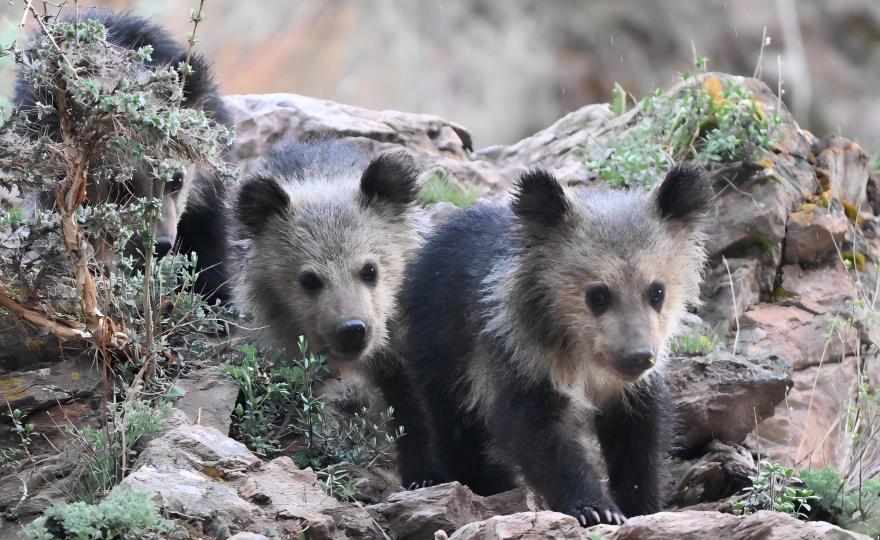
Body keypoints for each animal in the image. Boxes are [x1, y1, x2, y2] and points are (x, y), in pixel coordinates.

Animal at [228, 138, 440, 487]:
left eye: (370, 269)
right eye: (310, 279)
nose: (353, 329)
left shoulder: (401, 344)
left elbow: (418, 405)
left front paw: (426, 474)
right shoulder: (279, 345)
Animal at [402, 164, 713, 525]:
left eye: (657, 291)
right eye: (598, 294)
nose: (638, 356)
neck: (582, 356)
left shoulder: (630, 391)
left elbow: (638, 435)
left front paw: (642, 504)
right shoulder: (519, 356)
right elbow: (538, 432)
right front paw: (596, 508)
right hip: (442, 346)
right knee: (453, 419)